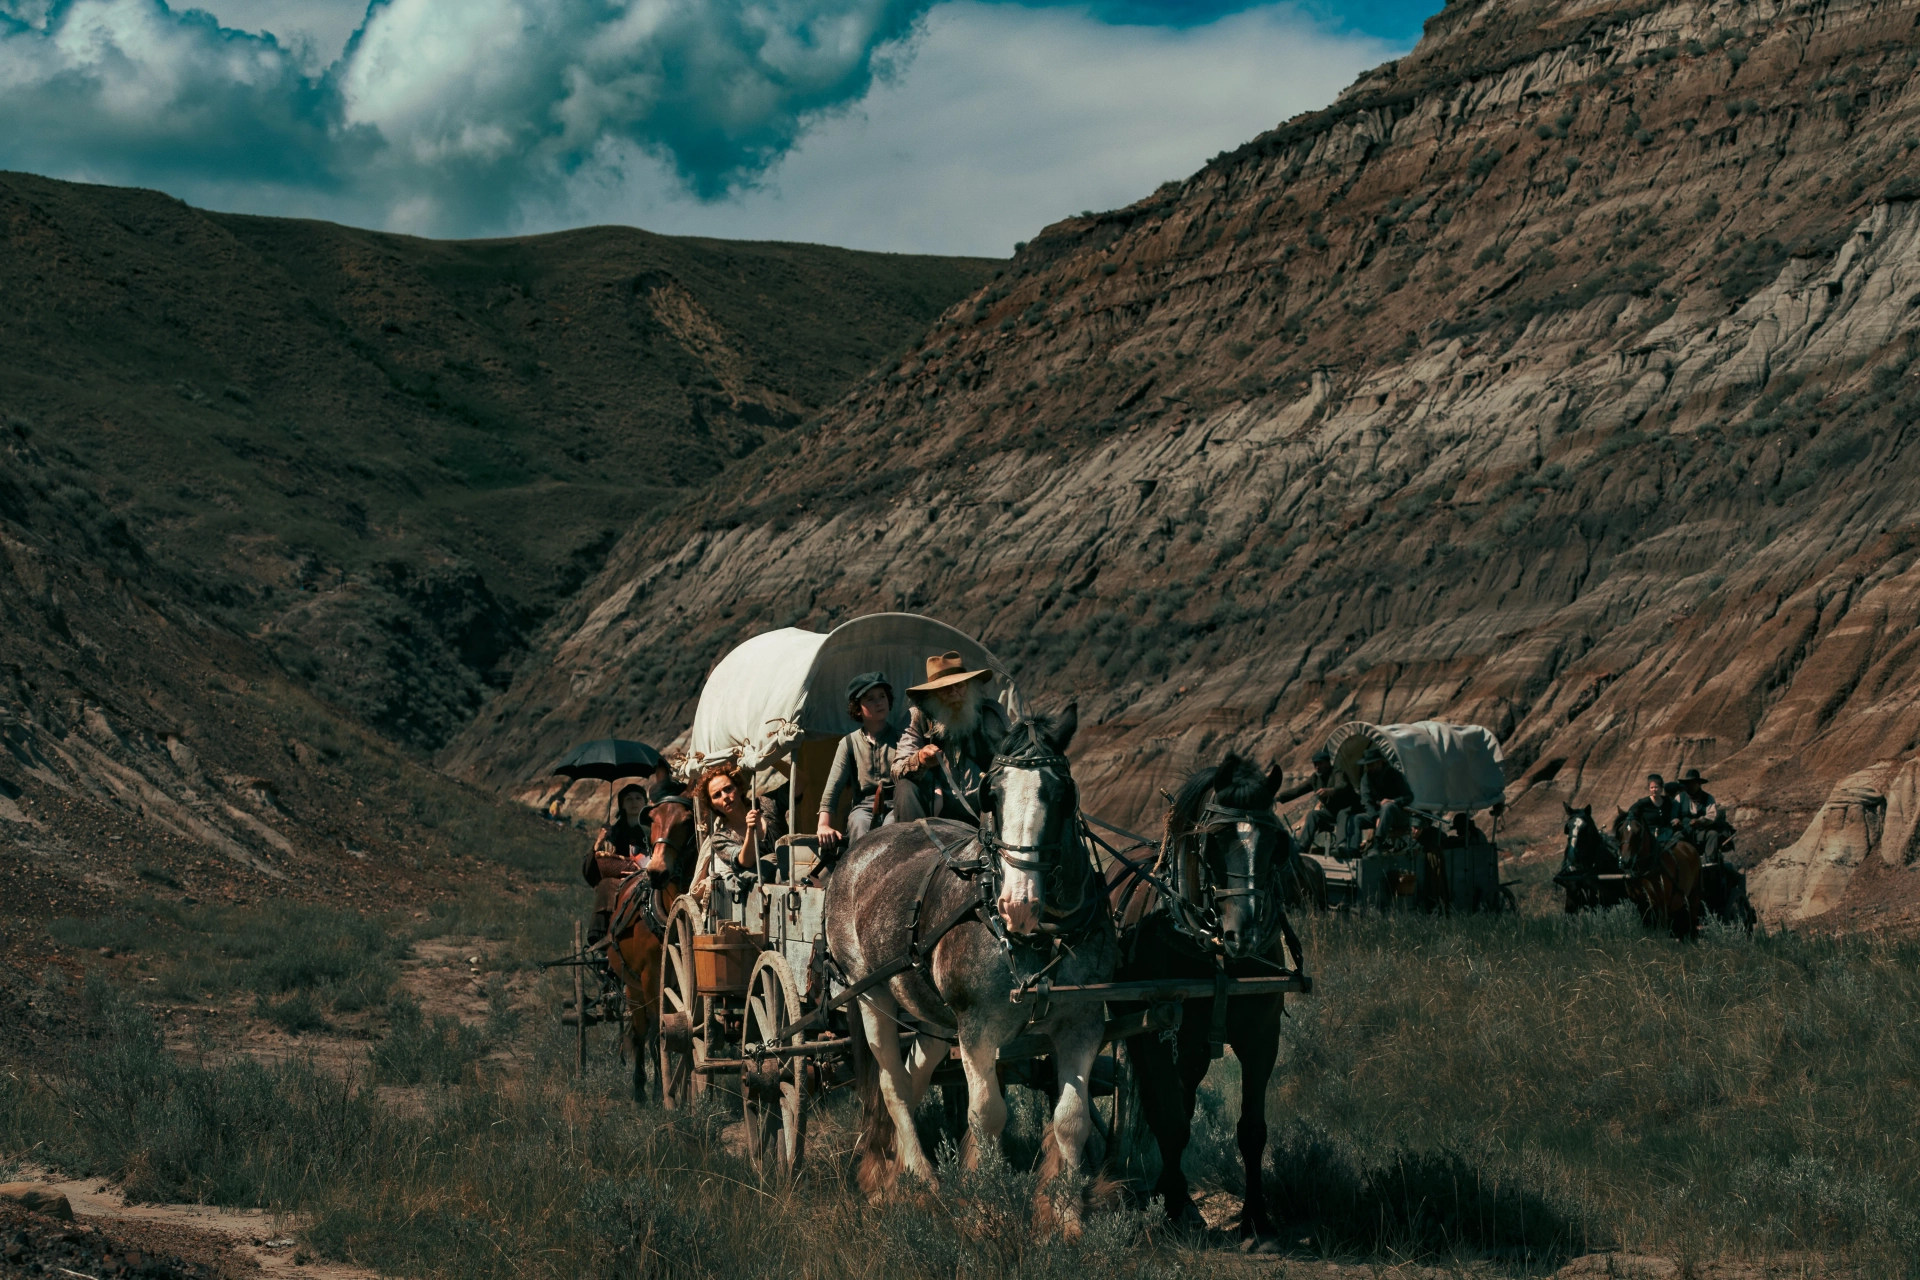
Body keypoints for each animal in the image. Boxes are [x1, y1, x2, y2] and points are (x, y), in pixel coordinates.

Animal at [606, 790, 698, 1105]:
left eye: (686, 821)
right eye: (654, 819)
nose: (656, 872)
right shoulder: (650, 978)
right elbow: (658, 1033)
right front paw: (661, 1091)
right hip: (632, 986)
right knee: (640, 1031)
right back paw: (640, 1088)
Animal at [821, 706, 1121, 1228]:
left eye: (1063, 793)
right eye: (991, 794)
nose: (1017, 904)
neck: (1036, 937)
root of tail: (860, 850)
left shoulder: (1083, 1022)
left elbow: (1071, 1118)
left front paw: (1065, 1217)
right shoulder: (978, 1028)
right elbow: (988, 1115)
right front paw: (985, 1204)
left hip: (933, 1016)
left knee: (914, 1076)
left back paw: (897, 1165)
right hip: (870, 994)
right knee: (892, 1083)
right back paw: (919, 1177)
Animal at [1105, 752, 1297, 1251]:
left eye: (1277, 843)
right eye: (1215, 841)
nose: (1244, 933)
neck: (1212, 951)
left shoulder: (1261, 1038)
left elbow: (1251, 1130)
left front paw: (1257, 1222)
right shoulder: (1151, 1034)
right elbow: (1167, 1119)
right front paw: (1175, 1211)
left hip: (1191, 1045)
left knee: (1184, 1096)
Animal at [1612, 809, 1704, 940]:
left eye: (1638, 832)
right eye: (1619, 831)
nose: (1625, 861)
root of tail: (1689, 846)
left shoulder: (1662, 905)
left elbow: (1661, 930)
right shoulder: (1640, 905)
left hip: (1694, 895)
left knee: (1693, 918)